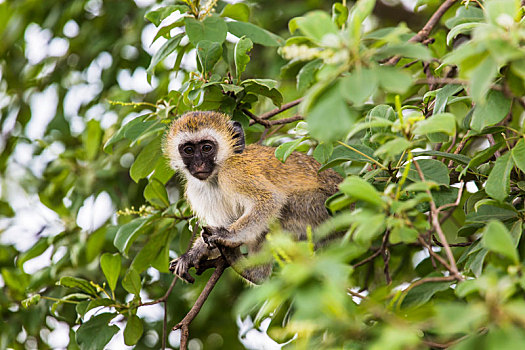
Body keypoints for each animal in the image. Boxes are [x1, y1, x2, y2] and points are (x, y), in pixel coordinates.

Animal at [165, 112, 344, 284]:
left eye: (206, 147)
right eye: (188, 150)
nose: (199, 164)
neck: (216, 176)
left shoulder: (233, 171)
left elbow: (270, 199)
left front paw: (227, 236)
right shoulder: (197, 190)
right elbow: (222, 224)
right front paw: (192, 255)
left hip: (321, 210)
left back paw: (255, 273)